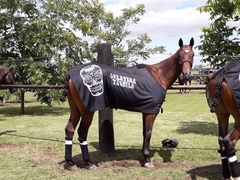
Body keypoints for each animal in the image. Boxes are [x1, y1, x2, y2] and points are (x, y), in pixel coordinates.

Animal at [60, 37, 195, 170]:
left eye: (192, 54)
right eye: (180, 55)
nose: (186, 74)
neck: (158, 75)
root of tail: (70, 75)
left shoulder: (145, 110)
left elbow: (144, 132)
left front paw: (144, 156)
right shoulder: (151, 112)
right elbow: (148, 133)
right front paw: (147, 160)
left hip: (75, 110)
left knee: (69, 130)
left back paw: (71, 163)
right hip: (87, 111)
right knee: (82, 133)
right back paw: (89, 163)